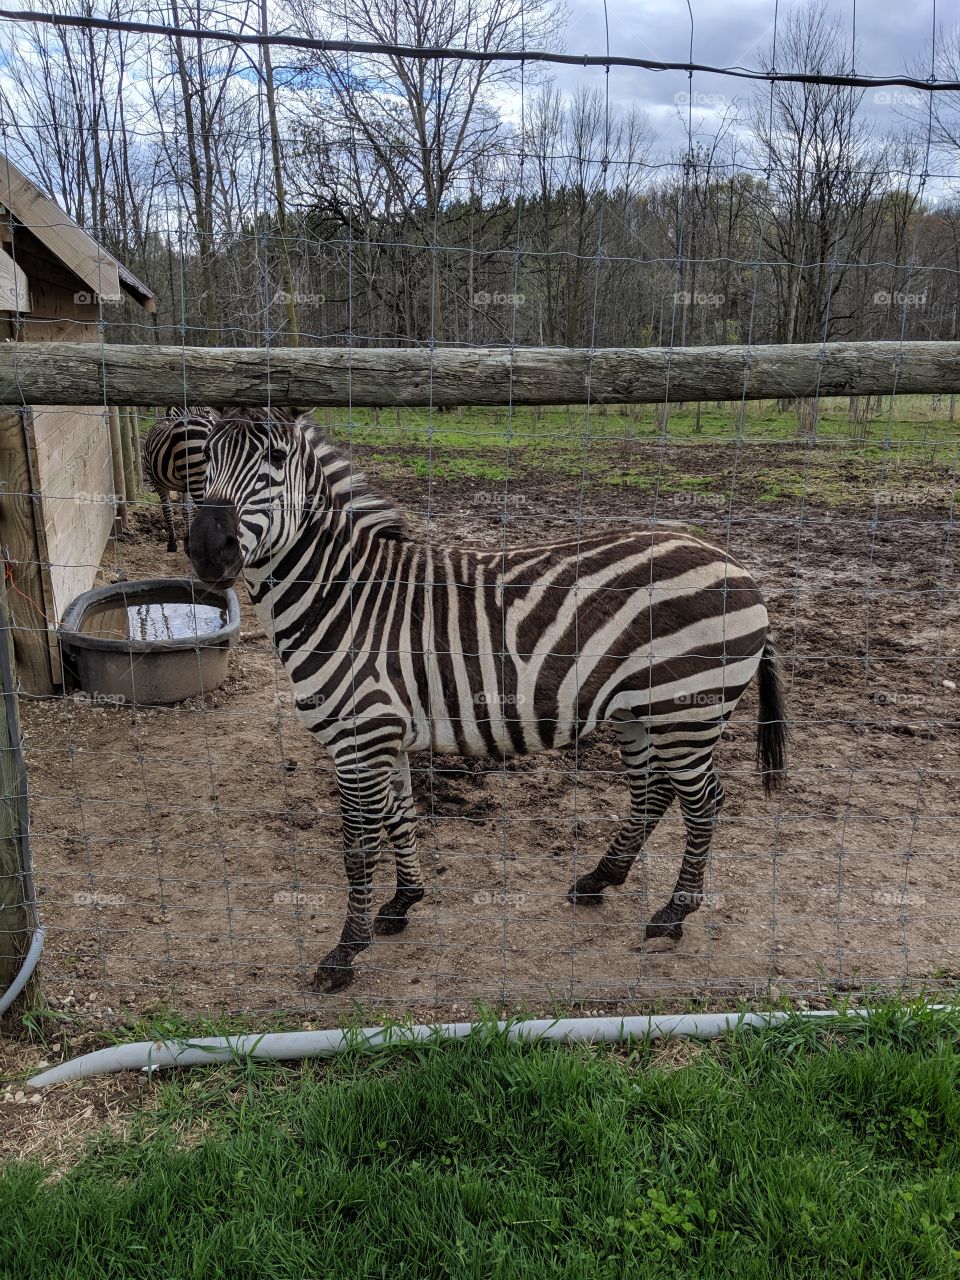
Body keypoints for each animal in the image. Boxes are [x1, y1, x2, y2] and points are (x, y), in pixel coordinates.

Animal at [143, 407, 214, 552]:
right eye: (207, 411)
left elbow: (167, 510)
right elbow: (187, 511)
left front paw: (172, 543)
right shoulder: (186, 486)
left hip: (197, 479)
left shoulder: (157, 482)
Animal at [188, 407, 787, 994]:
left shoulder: (360, 738)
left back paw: (672, 916)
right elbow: (400, 817)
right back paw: (600, 879)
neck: (343, 598)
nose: (206, 549)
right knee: (653, 791)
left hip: (686, 708)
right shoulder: (386, 736)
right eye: (205, 459)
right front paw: (403, 903)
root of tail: (733, 562)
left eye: (275, 459)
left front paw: (344, 954)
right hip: (640, 710)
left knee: (704, 802)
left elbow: (358, 847)